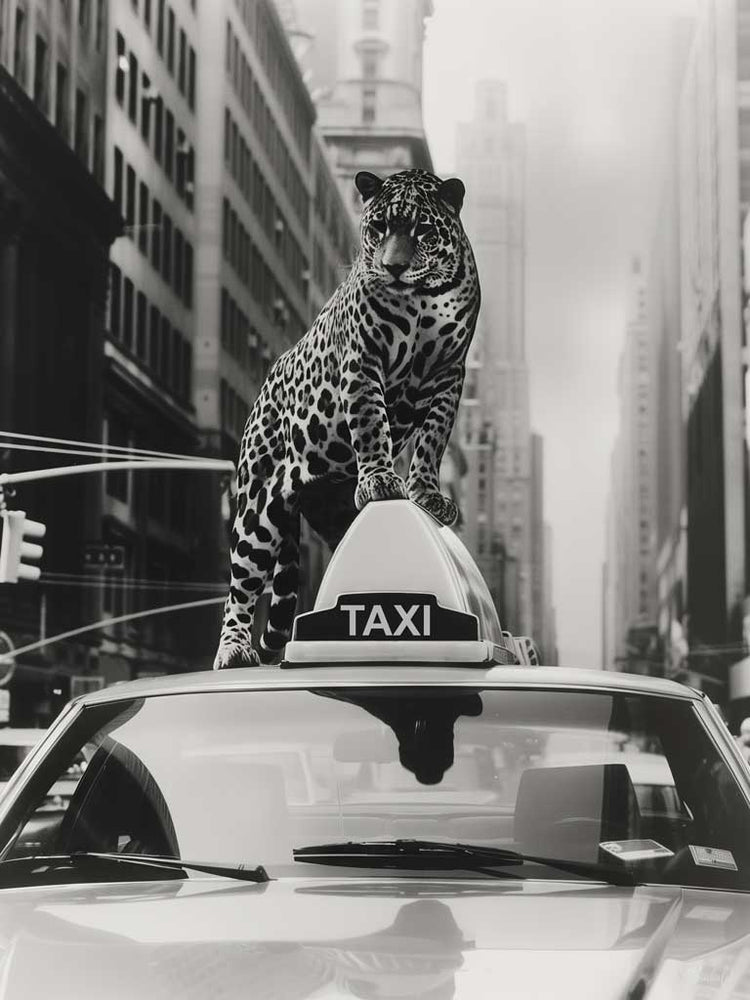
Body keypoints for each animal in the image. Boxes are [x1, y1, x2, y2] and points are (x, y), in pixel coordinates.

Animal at [213, 167, 481, 669]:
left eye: (421, 230)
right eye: (378, 228)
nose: (393, 267)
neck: (420, 297)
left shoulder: (449, 373)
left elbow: (433, 437)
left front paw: (425, 492)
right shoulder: (362, 360)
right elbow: (371, 423)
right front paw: (379, 477)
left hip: (338, 518)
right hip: (256, 512)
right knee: (239, 586)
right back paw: (233, 648)